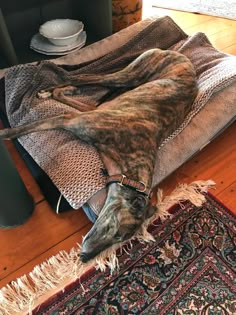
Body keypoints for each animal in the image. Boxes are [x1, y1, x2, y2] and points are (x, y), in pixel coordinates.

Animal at [0, 48, 198, 262]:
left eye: (122, 239)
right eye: (116, 232)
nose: (84, 258)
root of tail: (175, 53)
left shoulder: (88, 112)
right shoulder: (71, 118)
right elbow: (29, 127)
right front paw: (5, 133)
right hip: (129, 75)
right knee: (77, 75)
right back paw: (50, 78)